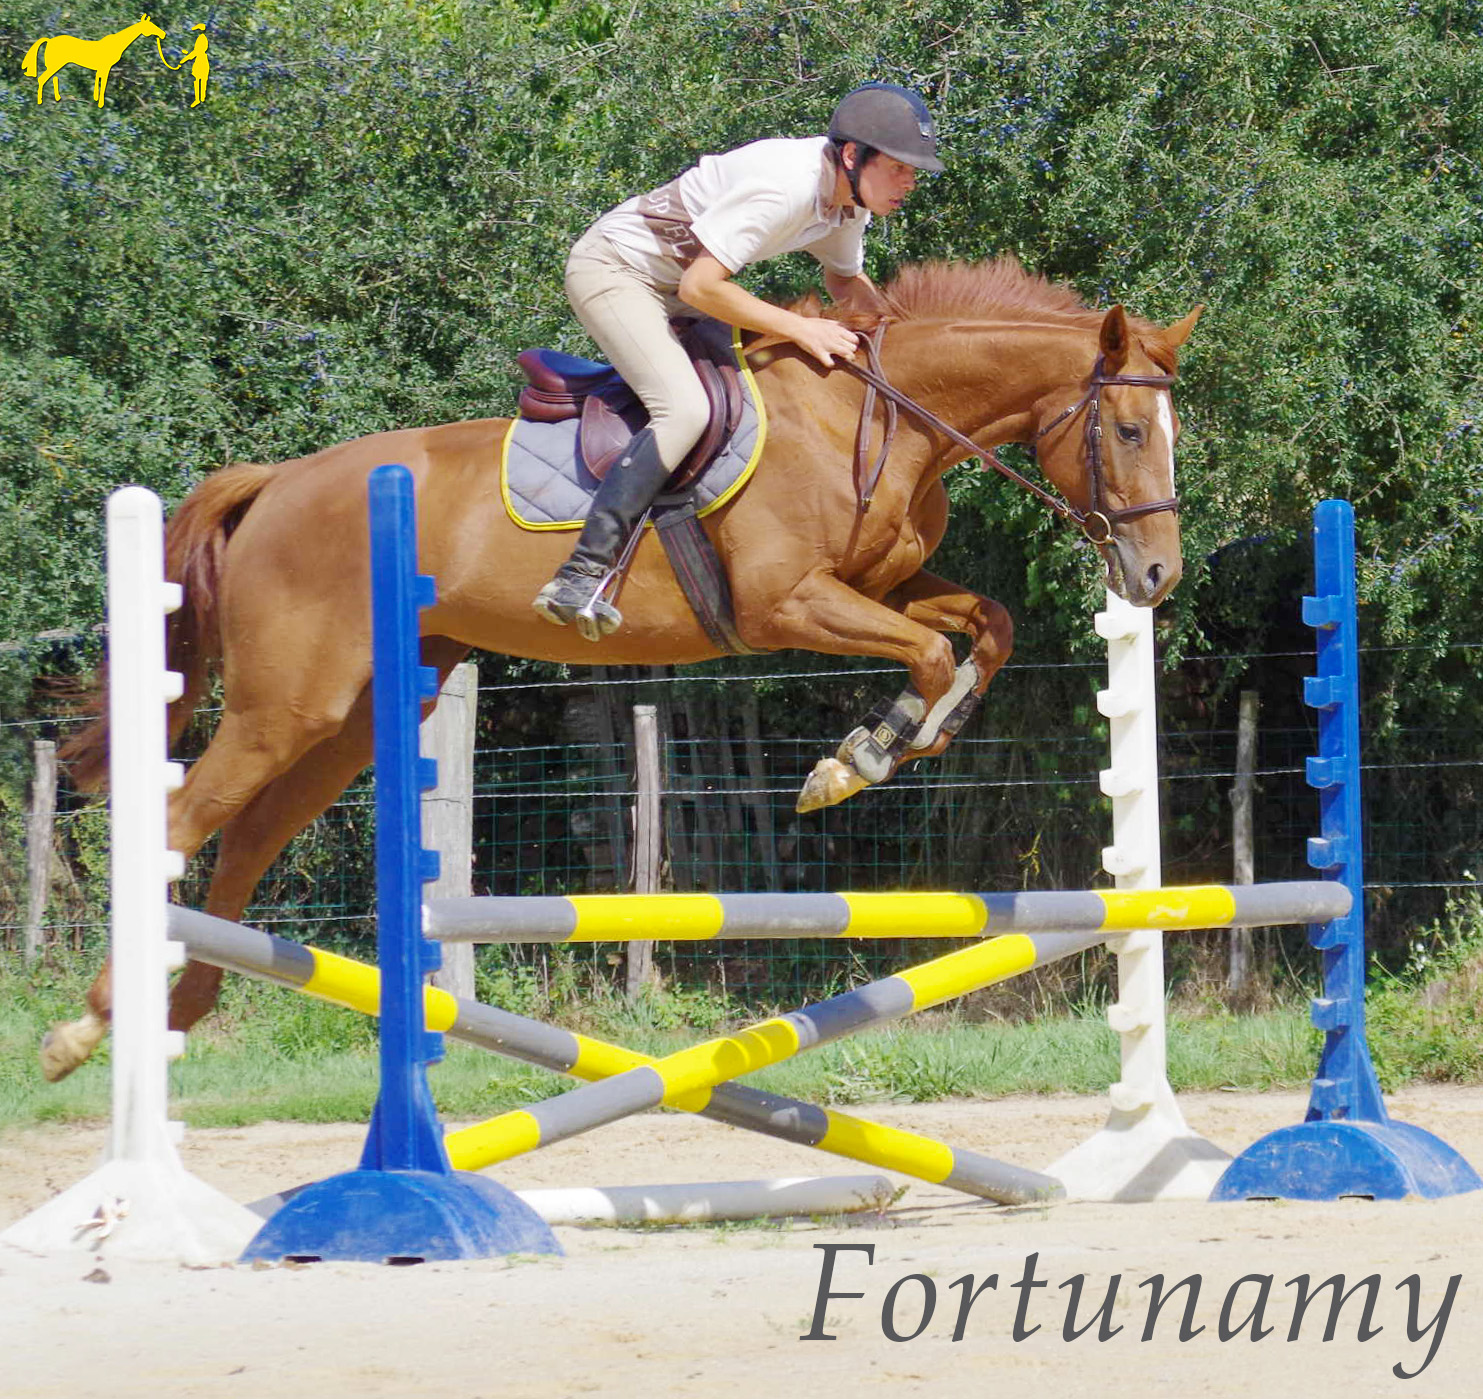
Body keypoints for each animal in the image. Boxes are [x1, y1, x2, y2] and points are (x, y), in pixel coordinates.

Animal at [21, 13, 165, 108]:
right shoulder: (106, 68)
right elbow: (103, 84)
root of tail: (49, 40)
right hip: (55, 65)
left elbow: (98, 82)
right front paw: (100, 103)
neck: (116, 44)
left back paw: (57, 99)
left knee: (53, 79)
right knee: (43, 78)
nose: (163, 34)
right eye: (150, 25)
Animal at [43, 253, 1204, 1085]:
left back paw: (176, 1008)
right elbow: (924, 649)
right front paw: (855, 763)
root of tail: (280, 479)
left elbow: (983, 626)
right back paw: (88, 1025)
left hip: (347, 720)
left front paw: (904, 737)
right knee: (183, 816)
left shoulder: (881, 583)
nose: (1154, 575)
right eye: (1127, 428)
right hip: (289, 704)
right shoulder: (788, 602)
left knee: (244, 836)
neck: (872, 417)